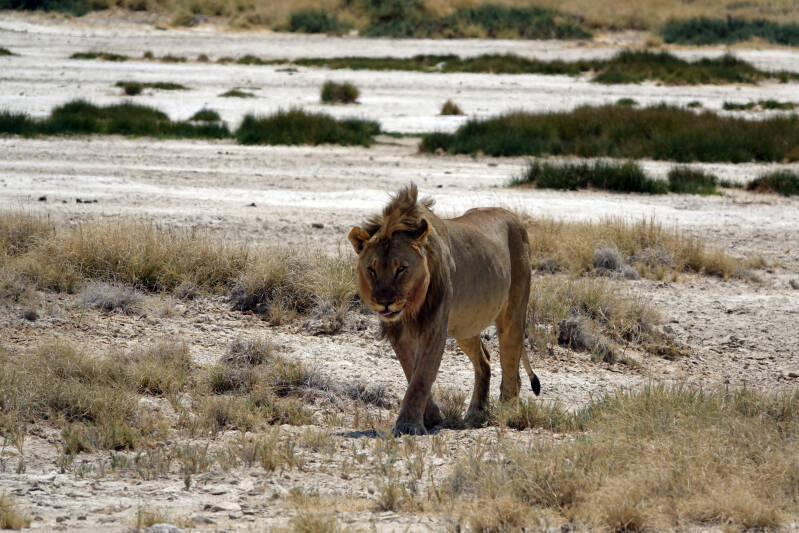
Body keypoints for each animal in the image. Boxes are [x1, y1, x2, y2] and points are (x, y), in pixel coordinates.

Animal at [348, 184, 540, 435]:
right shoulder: (398, 332)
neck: (410, 308)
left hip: (513, 313)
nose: (384, 302)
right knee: (485, 360)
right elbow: (411, 371)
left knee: (509, 365)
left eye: (401, 269)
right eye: (372, 269)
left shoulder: (435, 327)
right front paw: (431, 417)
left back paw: (508, 413)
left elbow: (422, 376)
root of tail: (513, 216)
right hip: (465, 326)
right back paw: (476, 412)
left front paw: (409, 425)